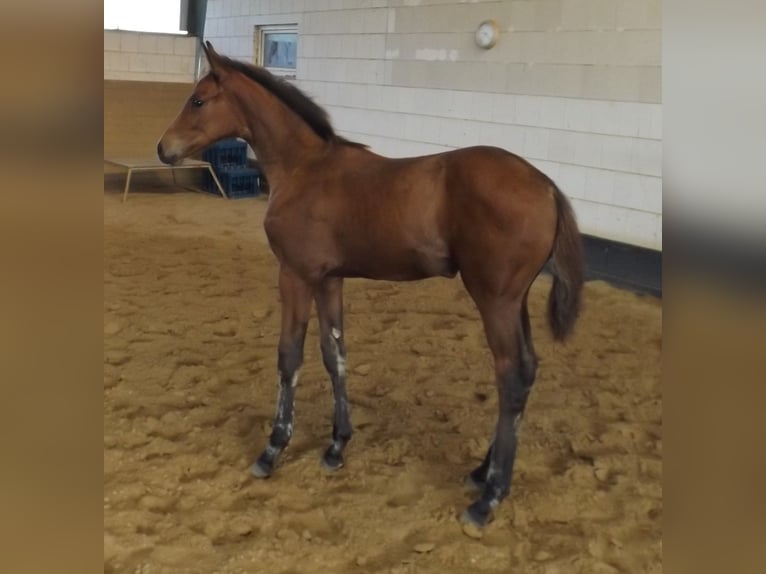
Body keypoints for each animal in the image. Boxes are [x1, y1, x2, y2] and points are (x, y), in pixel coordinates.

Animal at [159, 42, 584, 532]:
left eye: (198, 100)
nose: (163, 148)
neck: (305, 168)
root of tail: (546, 185)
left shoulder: (295, 275)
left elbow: (290, 356)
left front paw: (273, 449)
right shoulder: (329, 279)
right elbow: (334, 353)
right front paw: (337, 445)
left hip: (494, 300)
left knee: (511, 376)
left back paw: (488, 497)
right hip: (516, 301)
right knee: (528, 369)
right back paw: (481, 472)